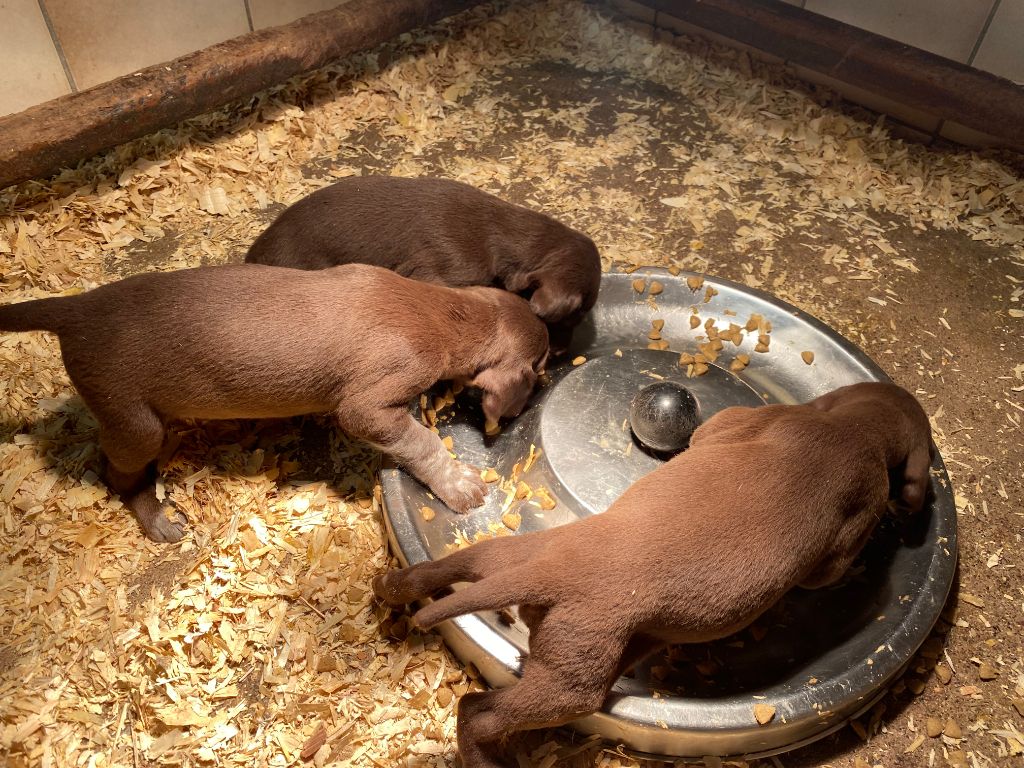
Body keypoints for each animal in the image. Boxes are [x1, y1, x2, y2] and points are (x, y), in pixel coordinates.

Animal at [0, 264, 552, 540]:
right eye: (542, 363)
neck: (441, 311)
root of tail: (75, 310)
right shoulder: (369, 404)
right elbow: (420, 443)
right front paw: (462, 485)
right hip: (136, 424)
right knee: (118, 475)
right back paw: (158, 519)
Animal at [376, 382, 937, 768]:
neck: (853, 432)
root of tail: (552, 574)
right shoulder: (848, 519)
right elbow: (834, 568)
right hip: (572, 684)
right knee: (476, 711)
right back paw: (483, 757)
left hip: (509, 559)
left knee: (440, 570)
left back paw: (390, 588)